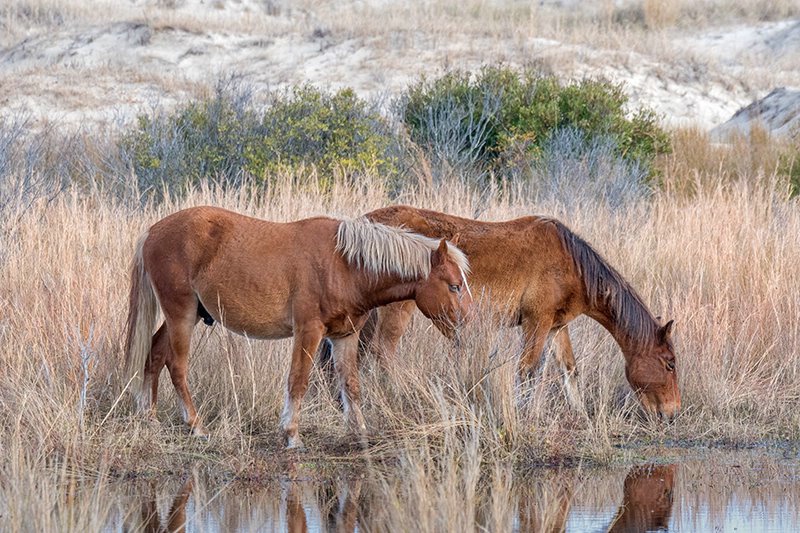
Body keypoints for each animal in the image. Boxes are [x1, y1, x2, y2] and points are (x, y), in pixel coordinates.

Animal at [125, 206, 472, 446]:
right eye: (454, 286)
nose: (467, 324)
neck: (344, 265)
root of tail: (153, 232)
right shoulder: (309, 332)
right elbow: (299, 381)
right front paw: (291, 434)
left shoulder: (345, 336)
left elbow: (351, 386)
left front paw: (359, 432)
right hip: (181, 314)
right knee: (177, 366)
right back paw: (196, 426)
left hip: (187, 316)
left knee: (154, 354)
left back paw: (148, 417)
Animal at [360, 206, 680, 418]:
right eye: (670, 364)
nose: (672, 412)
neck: (573, 265)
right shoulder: (535, 322)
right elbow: (527, 370)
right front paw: (521, 414)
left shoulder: (556, 325)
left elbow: (570, 369)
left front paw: (580, 414)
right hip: (397, 311)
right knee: (383, 351)